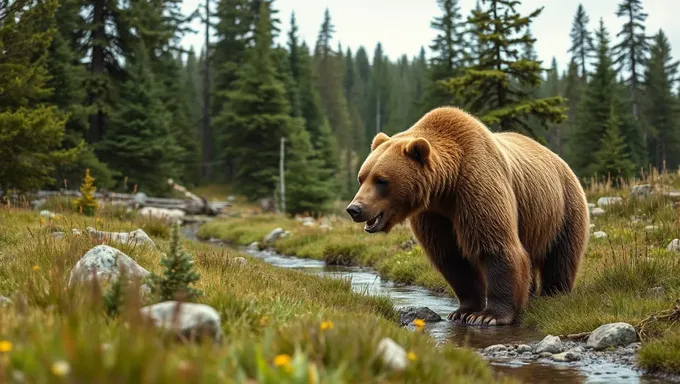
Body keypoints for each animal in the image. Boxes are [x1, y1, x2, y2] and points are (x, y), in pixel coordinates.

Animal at [346, 106, 588, 326]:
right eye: (362, 177)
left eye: (381, 180)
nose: (354, 209)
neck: (445, 188)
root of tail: (560, 160)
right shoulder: (434, 215)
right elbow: (452, 258)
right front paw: (463, 311)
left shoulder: (476, 187)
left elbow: (495, 246)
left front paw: (489, 316)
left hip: (563, 208)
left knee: (560, 257)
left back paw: (554, 293)